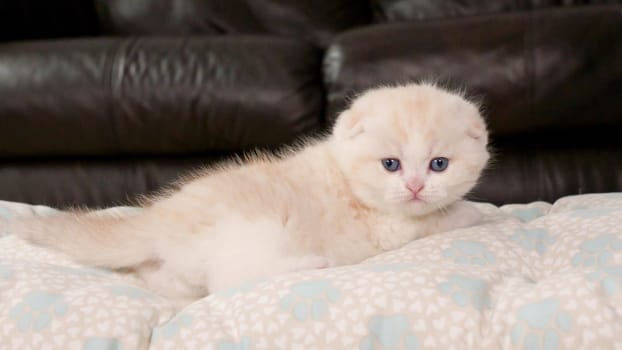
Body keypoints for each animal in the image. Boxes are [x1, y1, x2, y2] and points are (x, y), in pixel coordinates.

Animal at [12, 82, 492, 306]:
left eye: (438, 164)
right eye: (390, 165)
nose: (415, 186)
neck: (345, 174)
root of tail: (158, 222)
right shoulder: (391, 227)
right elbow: (444, 217)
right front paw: (479, 212)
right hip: (255, 231)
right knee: (231, 278)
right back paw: (312, 264)